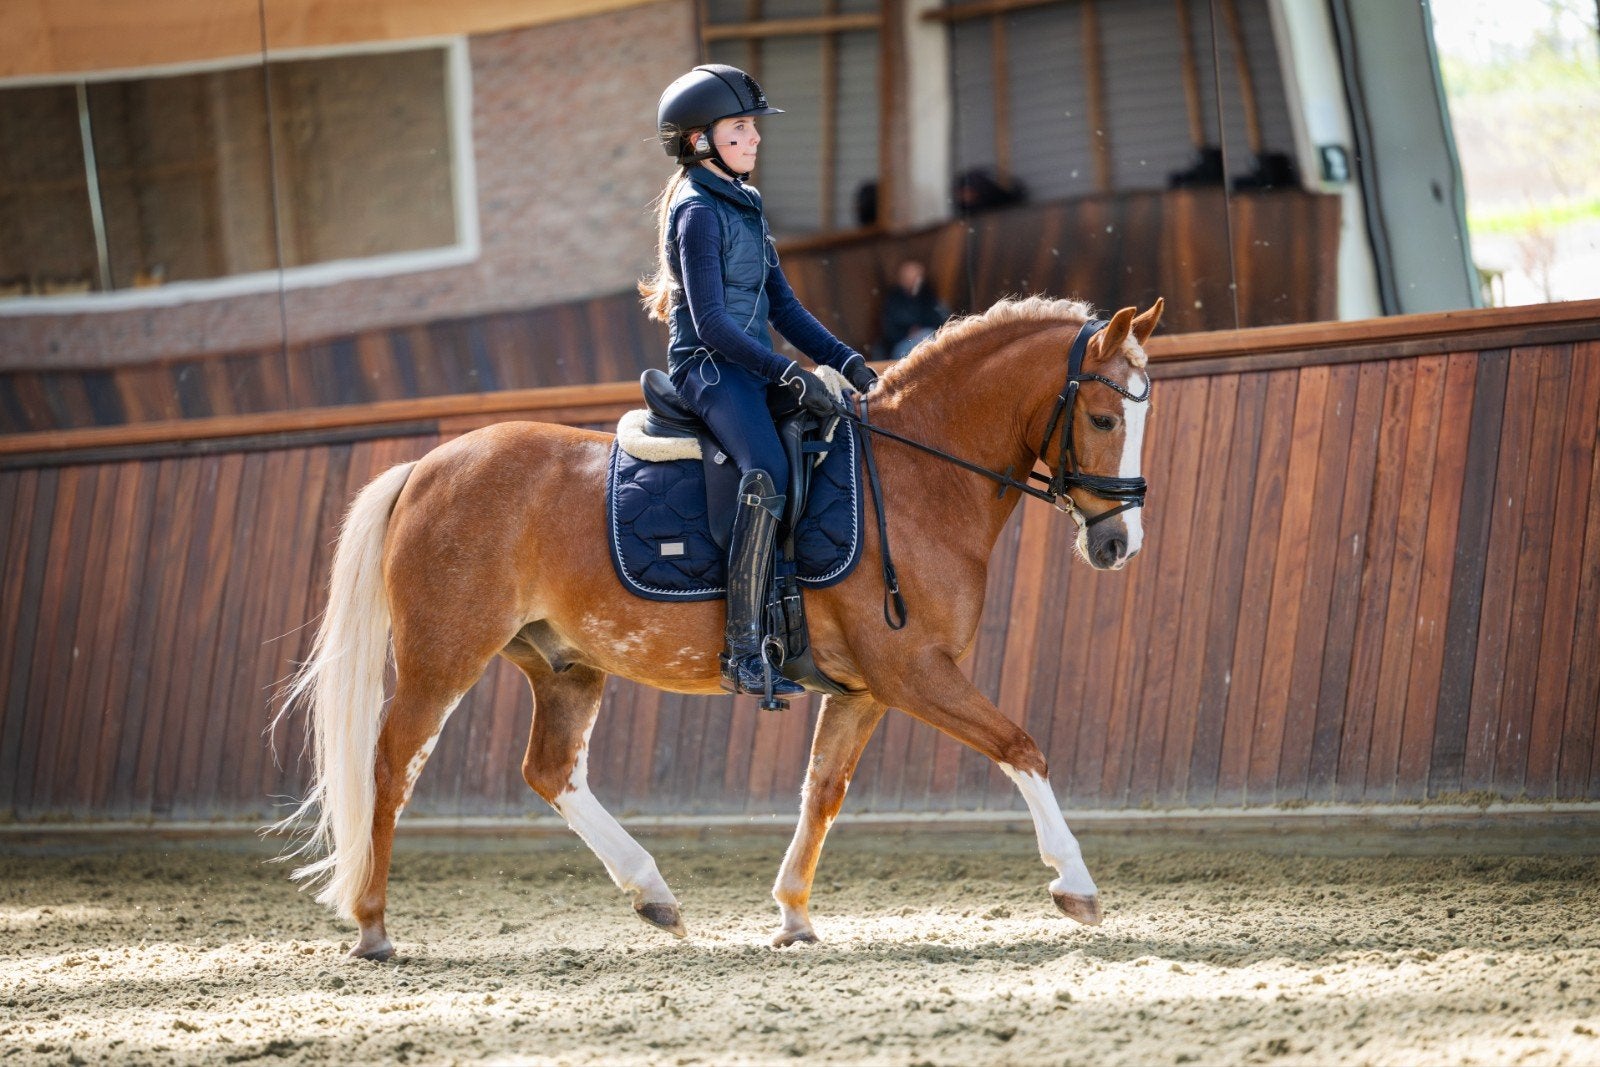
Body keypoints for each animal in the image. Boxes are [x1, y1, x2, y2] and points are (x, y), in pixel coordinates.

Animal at [276, 294, 1164, 961]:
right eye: (1102, 417)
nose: (1119, 545)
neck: (916, 477)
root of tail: (426, 467)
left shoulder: (866, 689)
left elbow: (823, 790)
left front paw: (794, 912)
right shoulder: (913, 670)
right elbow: (1020, 745)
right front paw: (1076, 883)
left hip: (565, 664)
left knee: (551, 771)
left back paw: (654, 895)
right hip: (444, 656)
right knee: (391, 766)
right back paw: (372, 926)